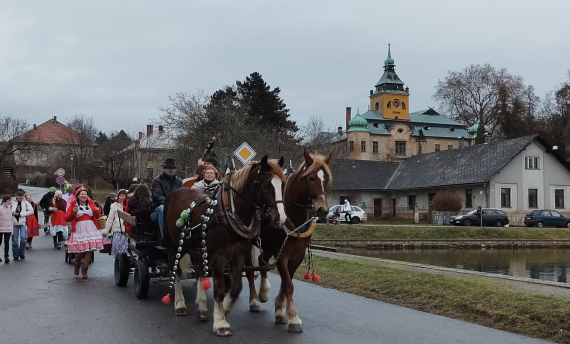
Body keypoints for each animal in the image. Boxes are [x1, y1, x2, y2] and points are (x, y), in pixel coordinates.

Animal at [161, 155, 284, 336]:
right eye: (267, 185)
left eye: (282, 184)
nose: (280, 219)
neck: (228, 213)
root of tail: (174, 193)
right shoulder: (219, 257)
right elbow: (219, 289)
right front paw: (220, 322)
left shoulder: (238, 255)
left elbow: (236, 287)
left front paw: (224, 310)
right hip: (173, 246)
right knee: (176, 272)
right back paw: (180, 304)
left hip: (201, 249)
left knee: (199, 273)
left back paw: (202, 308)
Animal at [243, 148, 328, 334]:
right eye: (311, 178)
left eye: (326, 178)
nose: (323, 210)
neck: (292, 219)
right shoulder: (282, 255)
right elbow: (288, 284)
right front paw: (294, 319)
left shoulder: (297, 255)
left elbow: (286, 281)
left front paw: (281, 311)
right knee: (250, 271)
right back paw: (254, 300)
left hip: (268, 247)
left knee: (261, 261)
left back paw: (264, 292)